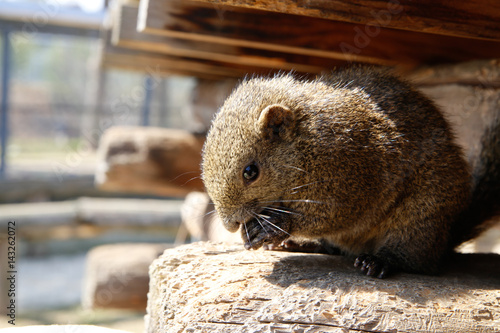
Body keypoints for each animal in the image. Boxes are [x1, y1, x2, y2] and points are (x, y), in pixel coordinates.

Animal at [200, 65, 500, 278]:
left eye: (251, 172)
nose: (229, 223)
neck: (305, 145)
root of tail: (447, 236)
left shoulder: (354, 173)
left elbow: (334, 213)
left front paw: (275, 226)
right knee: (333, 248)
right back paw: (302, 244)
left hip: (421, 217)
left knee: (414, 260)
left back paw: (379, 262)